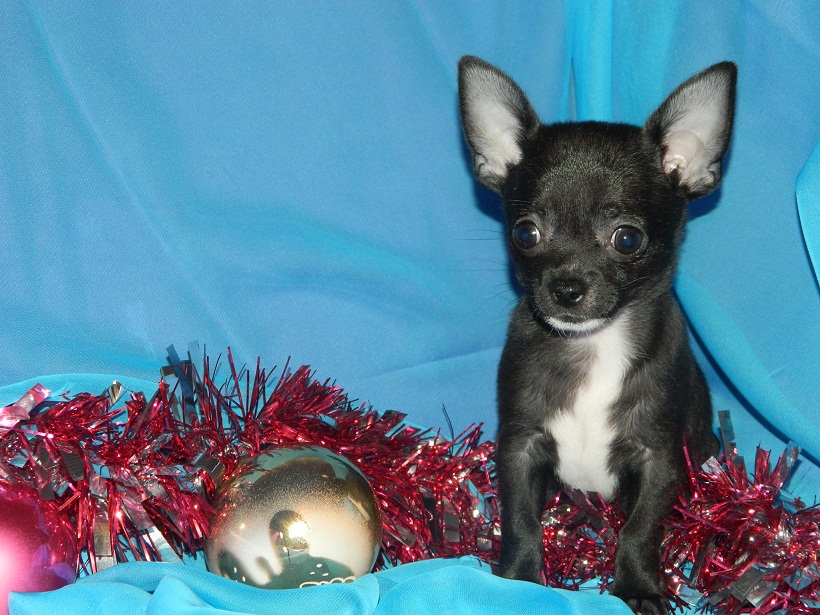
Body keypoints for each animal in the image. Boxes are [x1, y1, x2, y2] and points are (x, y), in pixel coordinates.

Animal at [458, 56, 736, 614]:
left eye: (627, 239)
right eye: (525, 233)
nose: (566, 288)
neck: (593, 345)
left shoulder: (659, 459)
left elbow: (639, 529)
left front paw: (638, 588)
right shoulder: (519, 447)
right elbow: (520, 521)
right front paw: (516, 581)